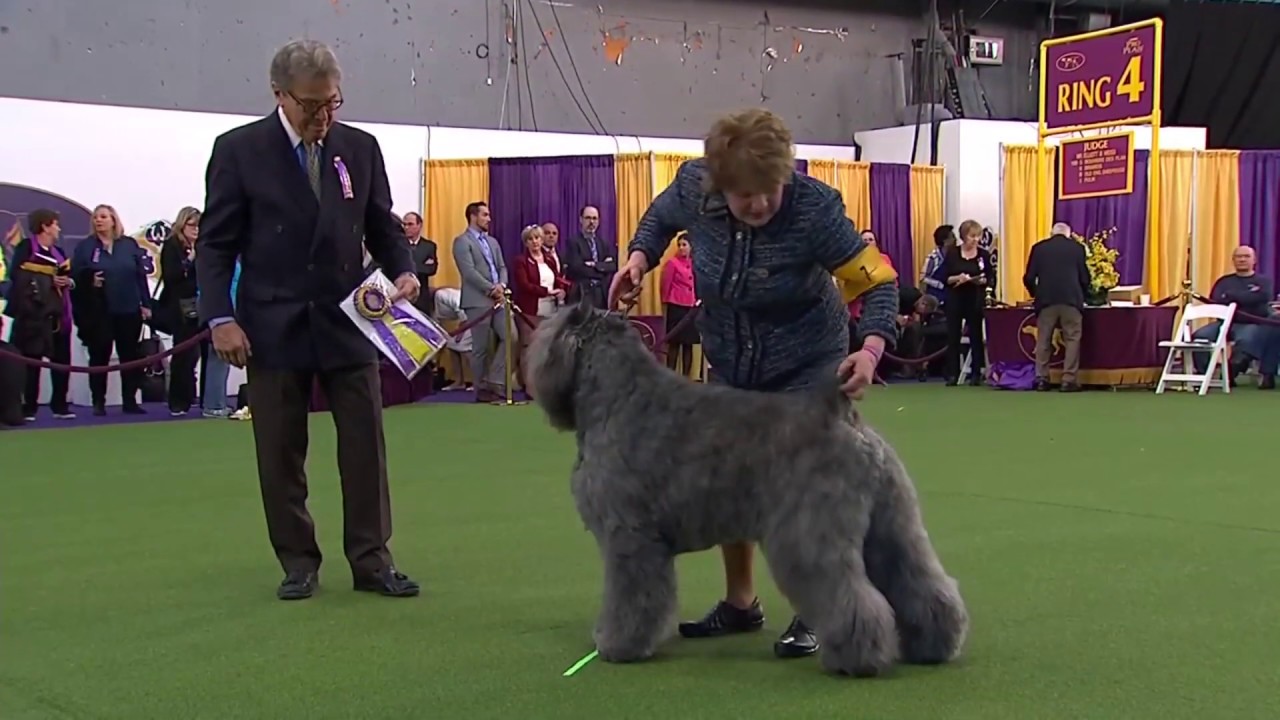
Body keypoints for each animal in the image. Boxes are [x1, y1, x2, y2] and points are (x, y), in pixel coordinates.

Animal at [524, 301, 962, 671]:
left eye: (547, 331)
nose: (530, 368)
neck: (620, 397)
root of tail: (839, 412)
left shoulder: (629, 539)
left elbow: (630, 599)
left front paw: (618, 644)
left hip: (809, 536)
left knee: (851, 595)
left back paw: (855, 657)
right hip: (891, 528)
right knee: (922, 585)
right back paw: (933, 645)